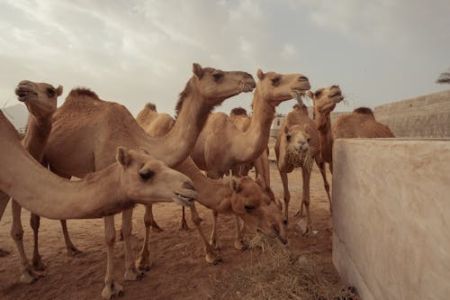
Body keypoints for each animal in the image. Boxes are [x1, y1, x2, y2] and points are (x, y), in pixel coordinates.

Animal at [43, 63, 256, 298]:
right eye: (217, 75)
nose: (249, 77)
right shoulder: (107, 179)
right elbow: (109, 236)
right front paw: (110, 285)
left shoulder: (128, 182)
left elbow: (127, 228)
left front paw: (132, 271)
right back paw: (37, 266)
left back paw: (69, 249)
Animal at [135, 105, 286, 268]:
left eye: (281, 216)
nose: (282, 236)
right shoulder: (215, 171)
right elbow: (216, 210)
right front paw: (216, 243)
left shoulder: (238, 168)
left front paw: (240, 240)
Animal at [272, 99, 332, 233]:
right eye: (288, 137)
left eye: (308, 139)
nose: (303, 145)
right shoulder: (281, 168)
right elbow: (286, 196)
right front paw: (285, 219)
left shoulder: (306, 164)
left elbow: (307, 198)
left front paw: (309, 226)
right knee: (304, 187)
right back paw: (300, 212)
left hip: (318, 158)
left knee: (325, 183)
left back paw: (331, 209)